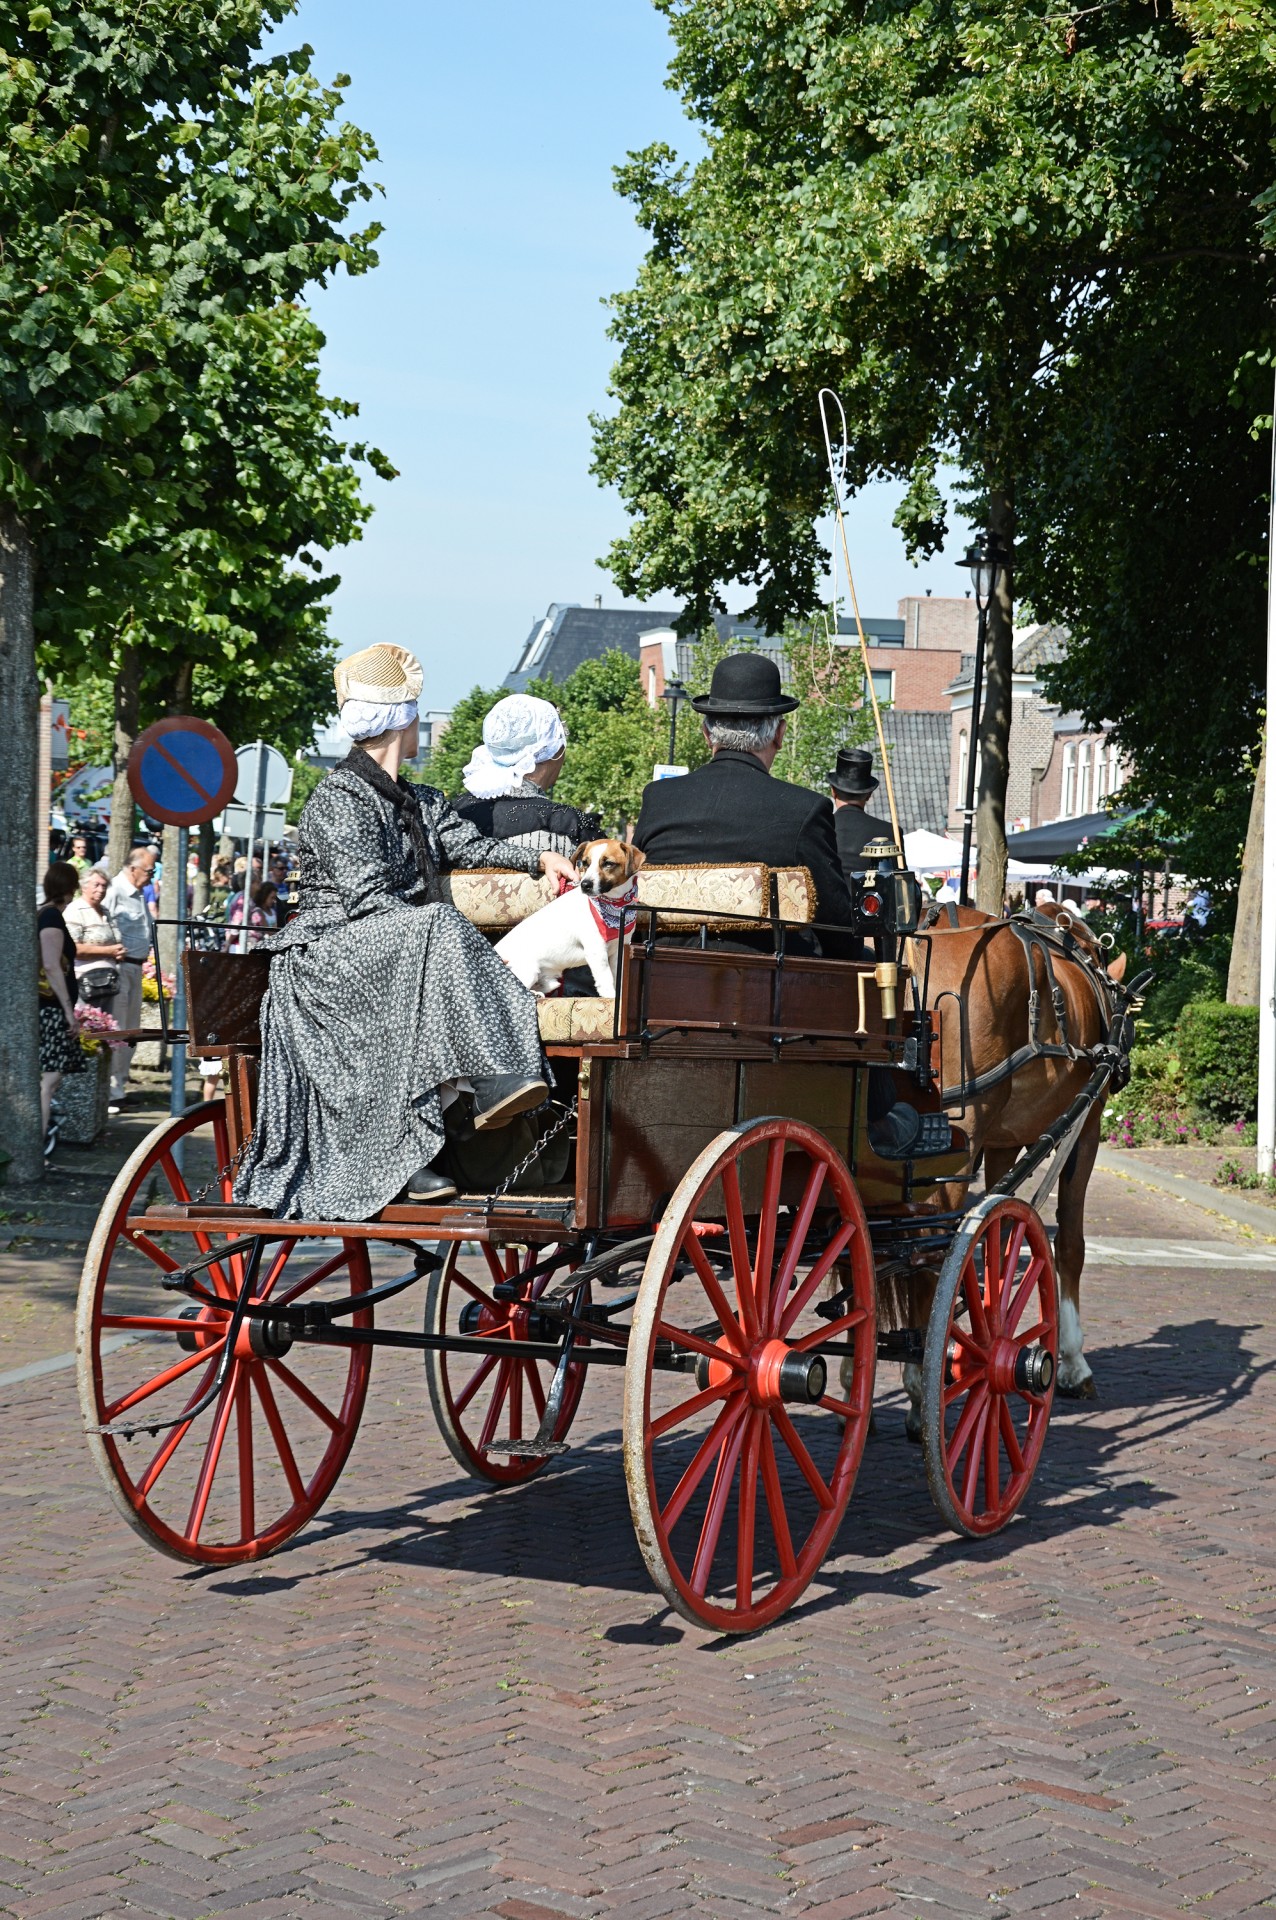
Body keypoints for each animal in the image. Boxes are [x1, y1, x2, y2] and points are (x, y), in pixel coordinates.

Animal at [489, 840, 640, 998]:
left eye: (608, 863)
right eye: (585, 863)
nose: (585, 885)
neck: (614, 905)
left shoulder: (620, 949)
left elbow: (619, 978)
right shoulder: (596, 950)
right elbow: (606, 979)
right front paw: (610, 996)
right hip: (528, 970)